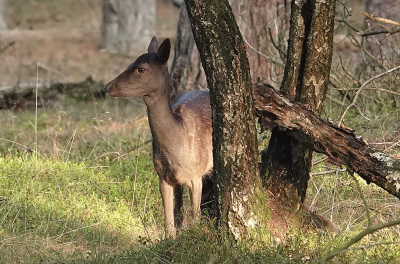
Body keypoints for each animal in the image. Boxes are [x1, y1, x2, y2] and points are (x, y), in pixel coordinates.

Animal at [104, 36, 214, 236]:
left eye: (141, 69)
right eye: (130, 63)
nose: (108, 87)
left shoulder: (196, 175)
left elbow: (194, 217)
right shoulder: (162, 176)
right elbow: (169, 222)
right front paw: (170, 239)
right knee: (179, 214)